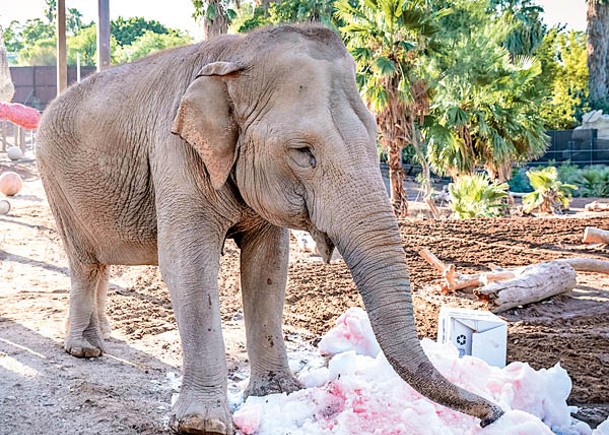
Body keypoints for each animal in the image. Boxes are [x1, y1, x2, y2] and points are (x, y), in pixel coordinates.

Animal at [35, 24, 504, 435]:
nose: (492, 415)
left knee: (100, 264)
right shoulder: (175, 153)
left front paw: (278, 393)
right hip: (54, 182)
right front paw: (203, 425)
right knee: (84, 263)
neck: (238, 53)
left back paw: (104, 337)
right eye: (303, 152)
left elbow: (268, 265)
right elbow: (186, 264)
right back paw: (85, 349)